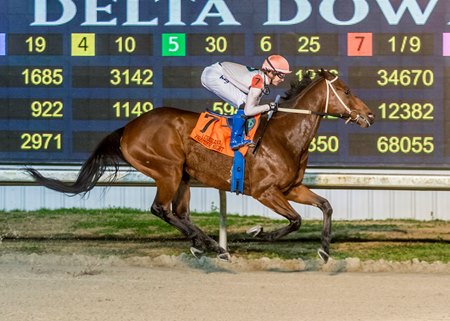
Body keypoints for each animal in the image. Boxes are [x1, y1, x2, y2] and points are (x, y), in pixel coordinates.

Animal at [26, 69, 374, 262]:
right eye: (345, 91)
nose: (369, 114)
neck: (284, 136)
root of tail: (128, 127)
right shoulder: (265, 192)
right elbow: (296, 220)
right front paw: (258, 232)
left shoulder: (292, 187)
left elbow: (326, 206)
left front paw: (325, 250)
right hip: (167, 169)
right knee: (160, 209)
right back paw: (213, 246)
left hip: (183, 176)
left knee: (178, 213)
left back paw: (205, 245)